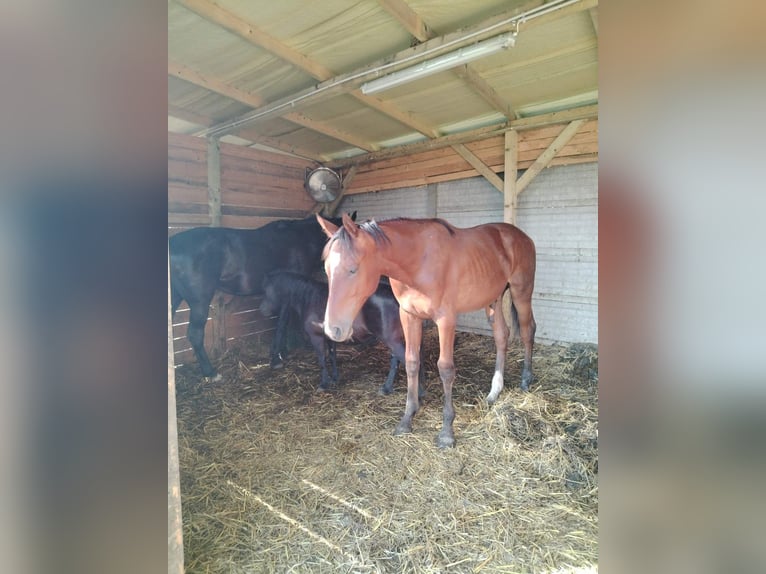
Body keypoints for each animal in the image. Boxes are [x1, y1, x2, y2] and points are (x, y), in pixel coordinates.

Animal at [170, 214, 356, 380]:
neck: (300, 241)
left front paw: (283, 352)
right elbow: (282, 323)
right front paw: (276, 358)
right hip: (199, 302)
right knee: (195, 334)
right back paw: (210, 372)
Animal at [258, 268, 426, 396]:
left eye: (266, 291)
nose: (263, 311)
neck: (310, 298)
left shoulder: (316, 337)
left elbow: (322, 360)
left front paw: (324, 383)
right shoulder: (330, 337)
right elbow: (332, 356)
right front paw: (334, 378)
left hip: (392, 340)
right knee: (397, 360)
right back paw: (387, 388)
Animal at [316, 215, 536, 450]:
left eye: (353, 269)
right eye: (327, 270)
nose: (332, 329)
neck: (417, 262)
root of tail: (522, 236)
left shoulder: (446, 319)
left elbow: (445, 369)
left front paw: (447, 432)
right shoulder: (409, 315)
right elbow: (411, 362)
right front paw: (407, 419)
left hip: (521, 292)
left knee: (527, 331)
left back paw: (525, 380)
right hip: (493, 299)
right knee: (502, 336)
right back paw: (494, 391)